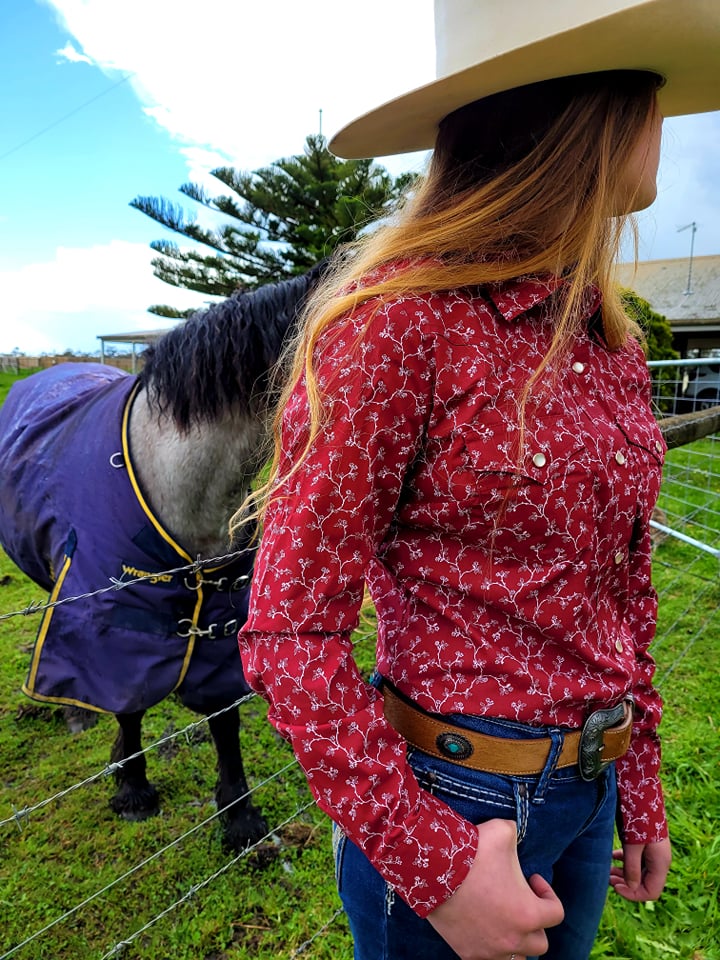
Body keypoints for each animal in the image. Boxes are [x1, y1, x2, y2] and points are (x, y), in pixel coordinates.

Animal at [0, 260, 326, 848]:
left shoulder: (219, 622)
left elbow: (222, 715)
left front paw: (239, 816)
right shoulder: (109, 626)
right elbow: (127, 706)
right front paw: (132, 789)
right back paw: (75, 716)